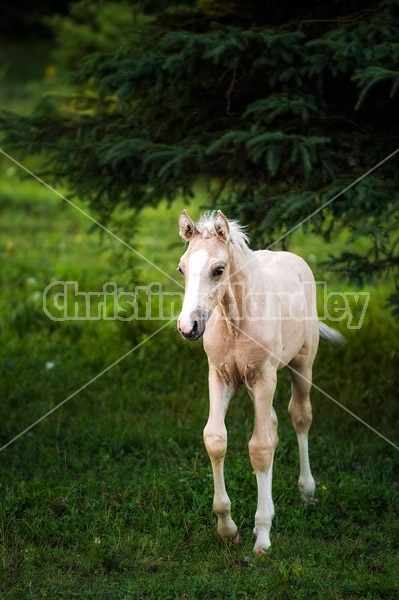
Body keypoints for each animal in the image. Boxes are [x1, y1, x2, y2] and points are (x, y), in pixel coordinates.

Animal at [178, 210, 344, 552]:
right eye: (181, 268)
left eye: (218, 270)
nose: (188, 326)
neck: (236, 321)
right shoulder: (219, 376)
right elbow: (216, 439)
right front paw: (228, 528)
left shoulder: (266, 377)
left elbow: (260, 448)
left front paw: (263, 536)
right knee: (274, 423)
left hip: (302, 365)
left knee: (299, 416)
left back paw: (307, 490)